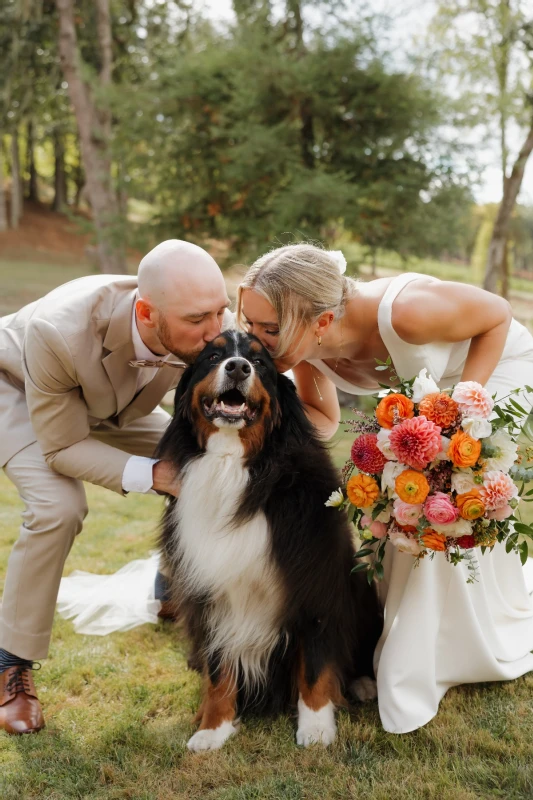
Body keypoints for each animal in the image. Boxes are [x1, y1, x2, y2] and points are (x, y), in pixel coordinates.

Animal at [156, 330, 384, 752]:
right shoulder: (208, 588)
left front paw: (316, 727)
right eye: (213, 356)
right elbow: (218, 670)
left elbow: (315, 663)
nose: (238, 367)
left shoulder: (314, 579)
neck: (233, 465)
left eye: (260, 362)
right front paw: (213, 729)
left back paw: (363, 684)